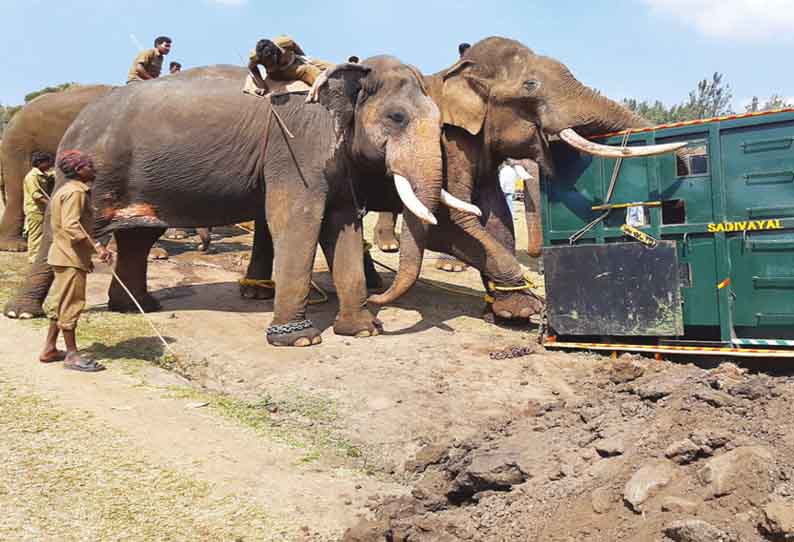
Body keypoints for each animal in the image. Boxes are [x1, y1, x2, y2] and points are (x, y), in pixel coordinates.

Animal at [3, 58, 474, 348]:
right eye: (397, 118)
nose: (380, 306)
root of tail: (78, 122)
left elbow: (341, 224)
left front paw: (361, 331)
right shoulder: (297, 148)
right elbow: (295, 219)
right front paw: (300, 340)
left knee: (139, 236)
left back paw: (139, 307)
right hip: (92, 172)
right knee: (66, 232)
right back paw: (22, 315)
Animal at [366, 35, 680, 318]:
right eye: (530, 85)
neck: (458, 72)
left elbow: (497, 216)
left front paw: (513, 310)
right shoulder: (449, 144)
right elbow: (450, 220)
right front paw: (526, 308)